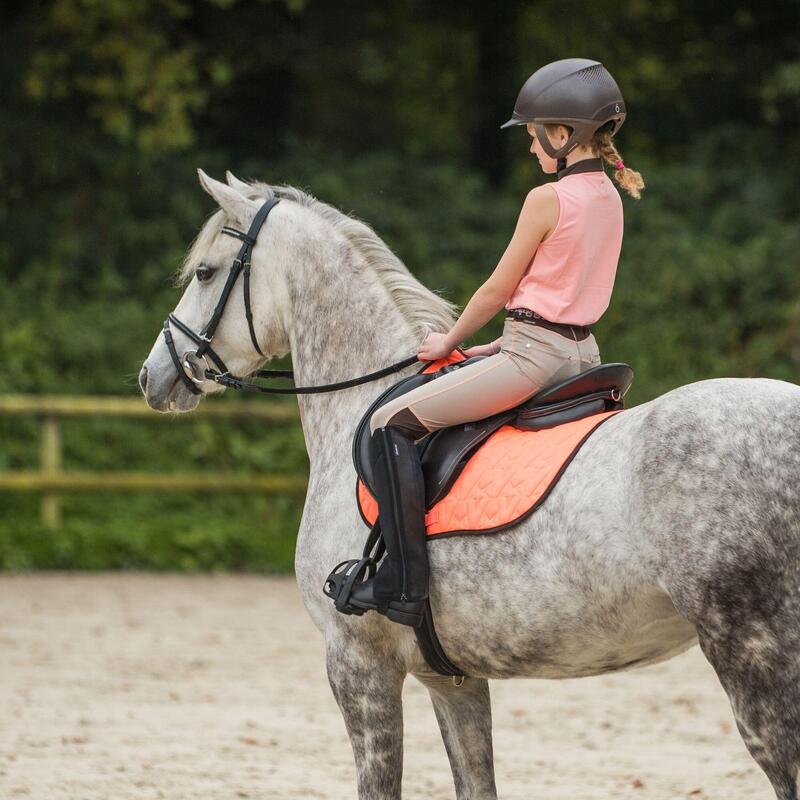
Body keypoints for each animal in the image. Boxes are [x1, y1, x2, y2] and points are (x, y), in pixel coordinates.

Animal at [139, 169, 800, 800]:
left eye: (205, 272)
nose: (154, 375)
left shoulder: (358, 665)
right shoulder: (451, 676)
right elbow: (475, 781)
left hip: (755, 659)